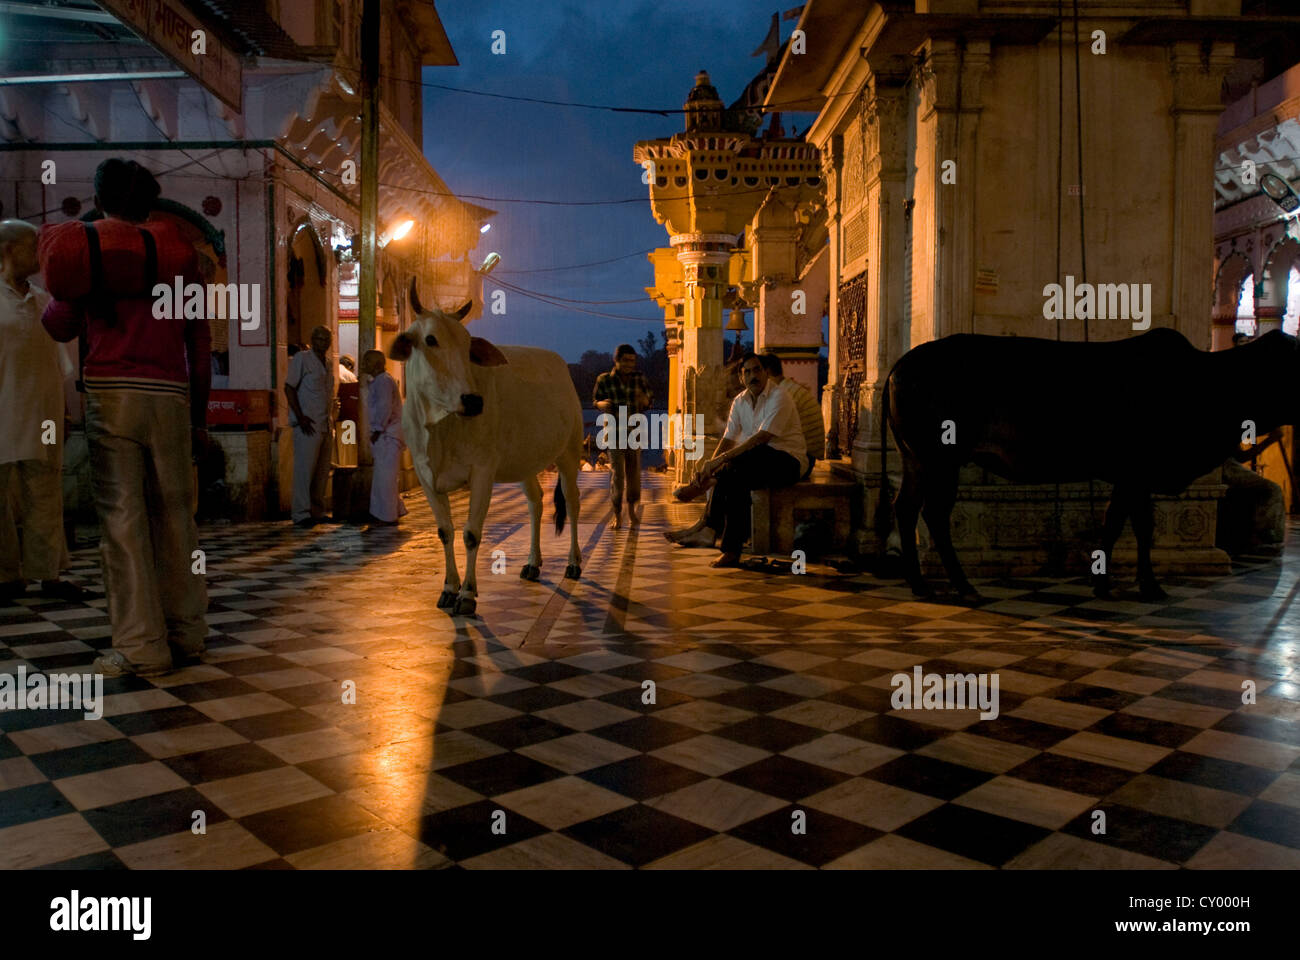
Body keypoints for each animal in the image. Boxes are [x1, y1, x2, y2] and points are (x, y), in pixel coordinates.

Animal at [390, 280, 585, 616]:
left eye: (469, 346)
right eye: (430, 340)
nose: (473, 401)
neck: (440, 429)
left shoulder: (482, 472)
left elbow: (470, 533)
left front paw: (467, 594)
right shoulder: (426, 476)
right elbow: (445, 531)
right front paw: (448, 589)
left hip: (569, 454)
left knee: (572, 503)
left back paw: (573, 563)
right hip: (525, 463)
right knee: (535, 502)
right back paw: (533, 563)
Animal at [878, 329, 1294, 598]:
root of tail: (901, 364)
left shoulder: (1130, 478)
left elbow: (1118, 523)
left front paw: (1106, 581)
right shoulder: (1137, 474)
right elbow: (1135, 526)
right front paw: (1147, 585)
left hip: (915, 460)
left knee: (906, 508)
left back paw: (920, 583)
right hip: (940, 460)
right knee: (933, 514)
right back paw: (961, 584)